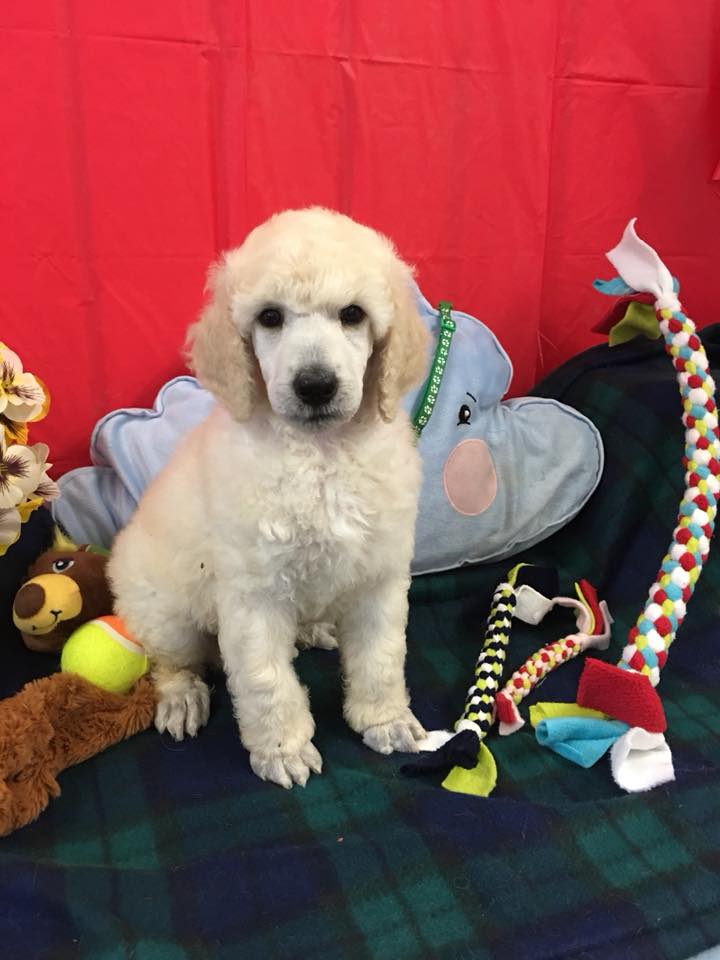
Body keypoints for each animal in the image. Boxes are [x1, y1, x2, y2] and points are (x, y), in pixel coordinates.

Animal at [108, 207, 430, 788]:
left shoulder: (380, 575)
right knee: (172, 661)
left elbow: (381, 657)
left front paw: (385, 720)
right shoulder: (253, 594)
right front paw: (283, 750)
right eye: (271, 318)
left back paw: (317, 629)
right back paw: (183, 697)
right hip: (163, 610)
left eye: (352, 315)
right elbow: (266, 680)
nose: (316, 385)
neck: (321, 455)